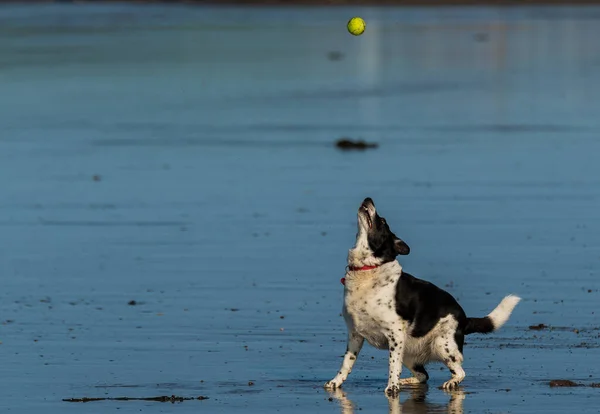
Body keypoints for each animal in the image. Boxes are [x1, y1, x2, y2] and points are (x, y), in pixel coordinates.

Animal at [324, 199, 520, 396]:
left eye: (383, 221)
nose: (368, 199)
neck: (368, 270)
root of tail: (465, 319)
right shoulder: (355, 334)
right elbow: (346, 363)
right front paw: (336, 382)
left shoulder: (395, 334)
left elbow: (392, 365)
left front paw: (392, 387)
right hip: (409, 351)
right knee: (423, 376)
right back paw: (406, 381)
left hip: (442, 345)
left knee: (460, 372)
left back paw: (449, 382)